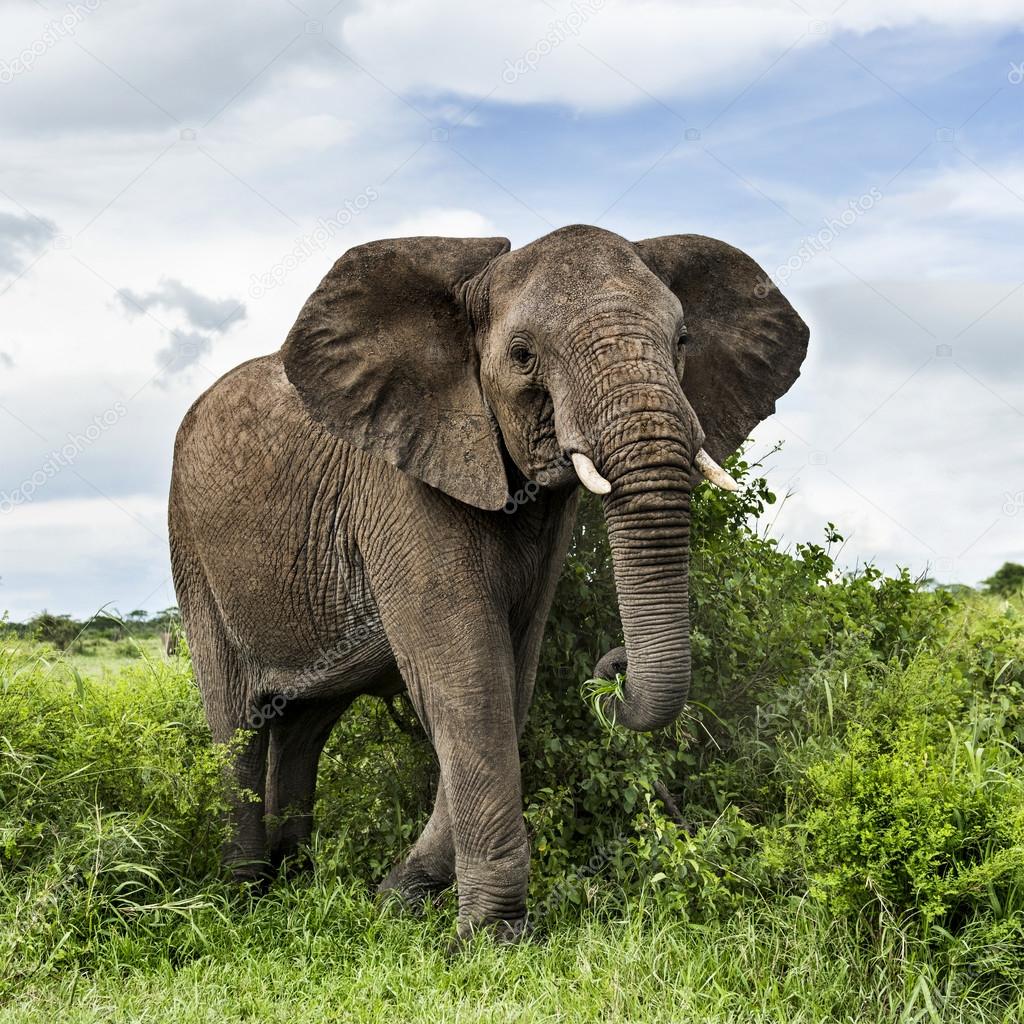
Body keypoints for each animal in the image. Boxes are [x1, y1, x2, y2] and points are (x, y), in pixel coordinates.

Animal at [167, 224, 806, 942]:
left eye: (683, 340)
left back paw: (295, 882)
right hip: (192, 552)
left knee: (305, 723)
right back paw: (244, 896)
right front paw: (490, 940)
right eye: (524, 356)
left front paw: (398, 899)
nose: (612, 669)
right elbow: (470, 681)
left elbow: (512, 680)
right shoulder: (402, 480)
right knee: (237, 721)